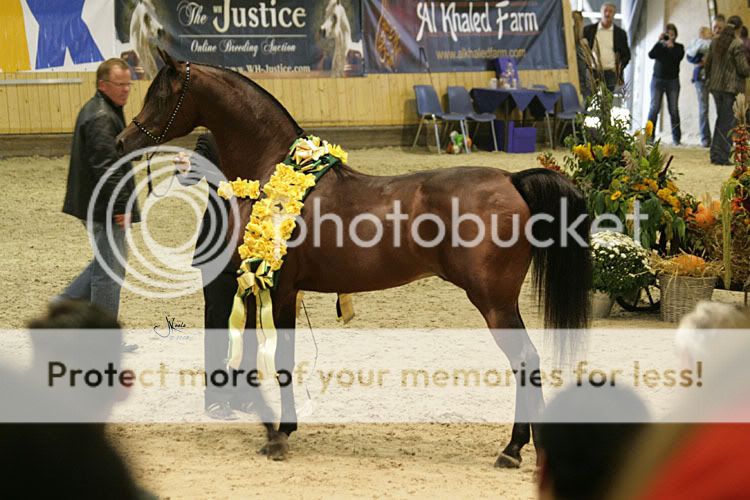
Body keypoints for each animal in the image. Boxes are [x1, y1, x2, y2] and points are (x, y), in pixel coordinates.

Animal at [116, 52, 592, 466]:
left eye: (162, 94)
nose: (125, 139)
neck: (273, 168)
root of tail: (511, 180)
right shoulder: (261, 289)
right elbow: (253, 358)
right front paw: (268, 423)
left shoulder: (280, 290)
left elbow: (281, 359)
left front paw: (280, 434)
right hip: (502, 302)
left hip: (492, 302)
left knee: (525, 359)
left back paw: (513, 449)